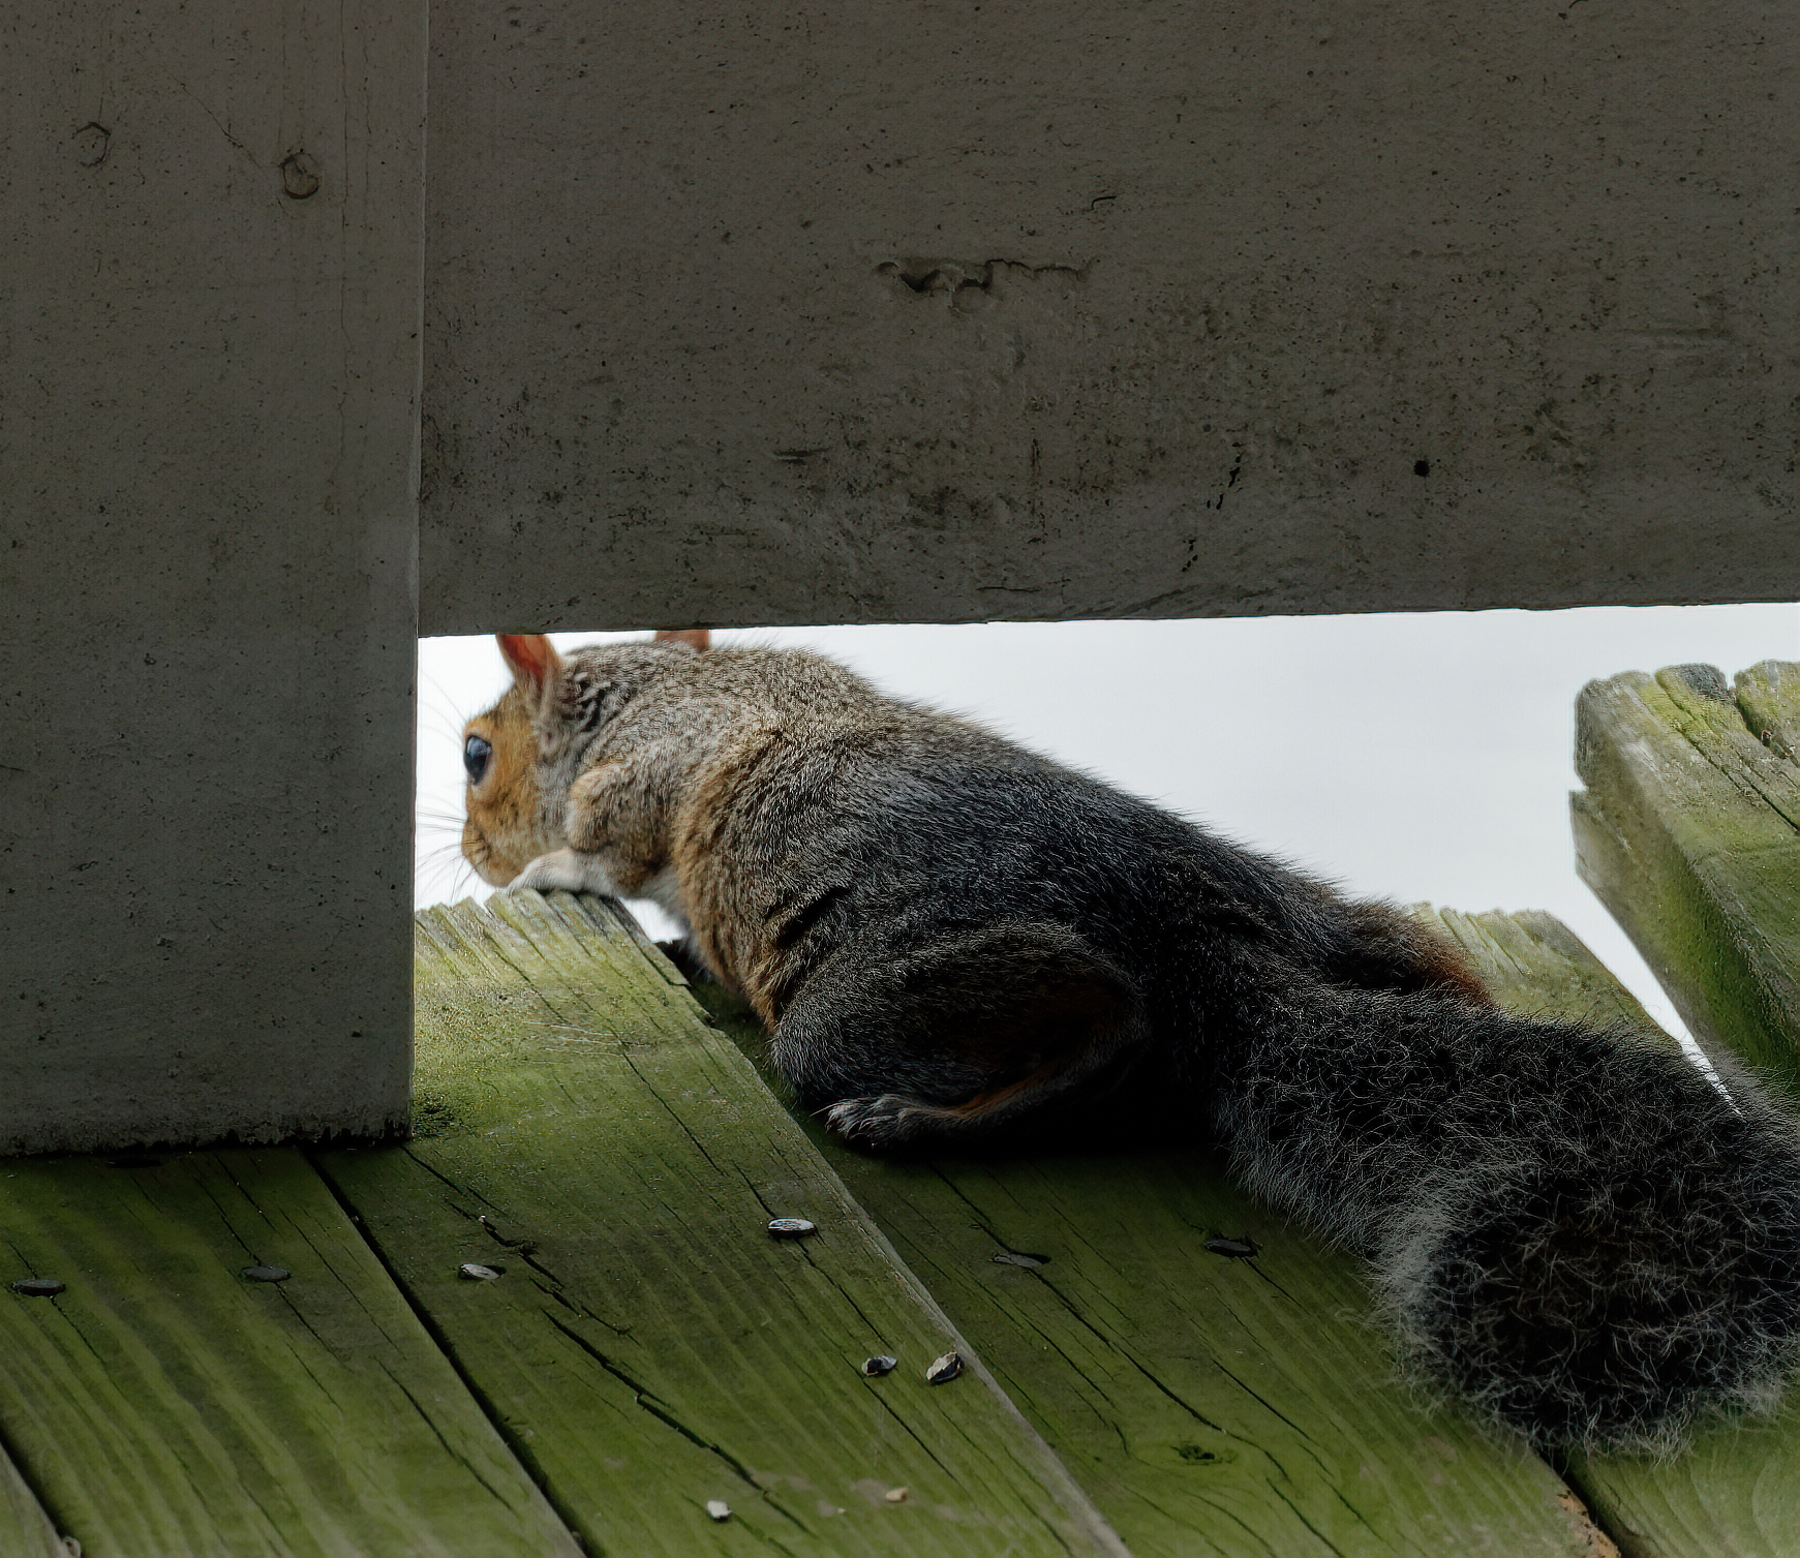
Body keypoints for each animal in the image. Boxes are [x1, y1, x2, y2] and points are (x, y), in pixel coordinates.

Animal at [460, 626, 1800, 1453]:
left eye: (476, 753)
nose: (469, 846)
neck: (669, 681)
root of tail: (1208, 957)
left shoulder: (648, 773)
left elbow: (613, 834)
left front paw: (549, 874)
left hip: (860, 1012)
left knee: (1100, 1022)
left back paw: (919, 1116)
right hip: (1334, 918)